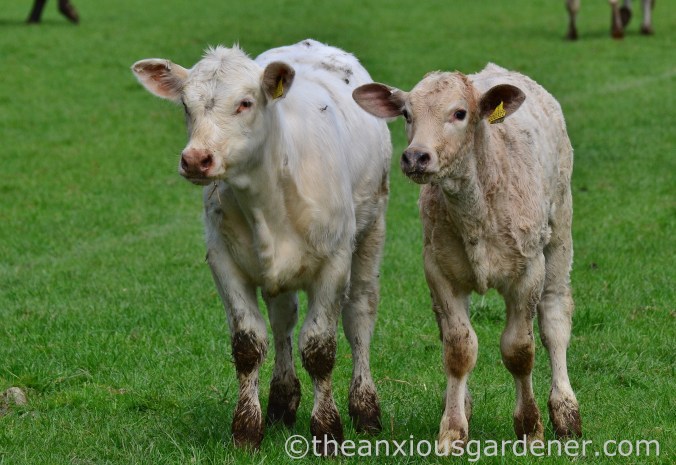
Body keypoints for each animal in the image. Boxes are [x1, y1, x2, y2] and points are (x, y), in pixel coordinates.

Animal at [131, 39, 391, 453]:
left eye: (245, 102)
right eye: (186, 105)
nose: (196, 159)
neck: (266, 197)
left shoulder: (334, 264)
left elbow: (319, 348)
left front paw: (328, 432)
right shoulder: (223, 261)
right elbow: (249, 346)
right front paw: (246, 430)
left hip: (372, 230)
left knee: (360, 316)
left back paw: (366, 410)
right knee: (283, 320)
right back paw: (282, 403)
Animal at [353, 64, 582, 450]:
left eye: (459, 113)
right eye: (406, 114)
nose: (415, 157)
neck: (477, 209)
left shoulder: (528, 271)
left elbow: (519, 350)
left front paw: (530, 426)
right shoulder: (438, 270)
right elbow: (459, 349)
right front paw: (453, 429)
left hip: (559, 230)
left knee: (554, 318)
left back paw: (566, 411)